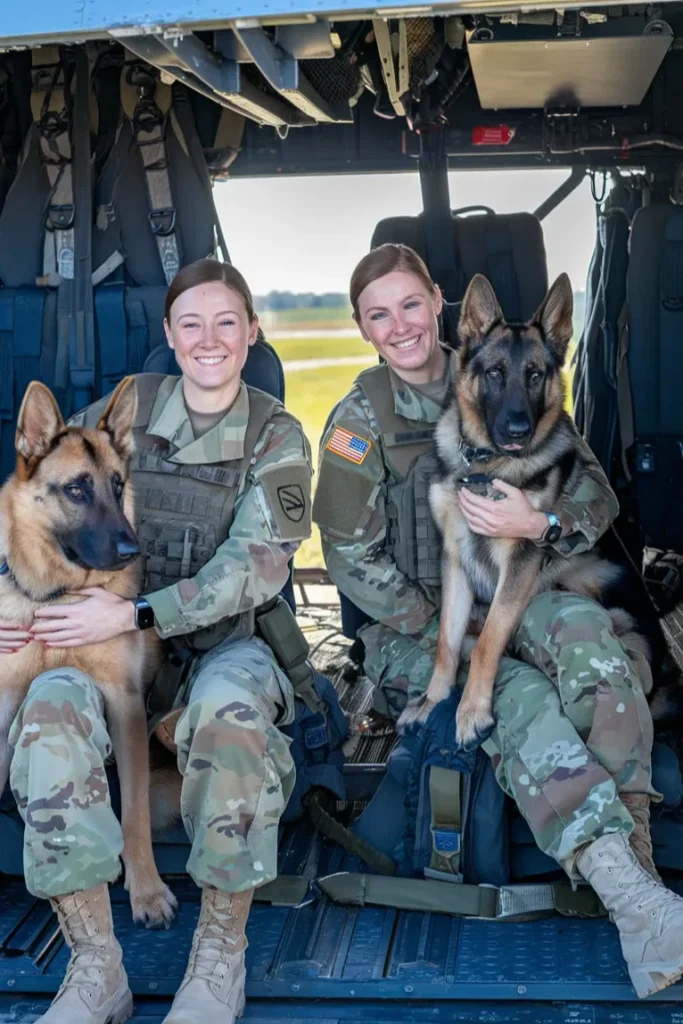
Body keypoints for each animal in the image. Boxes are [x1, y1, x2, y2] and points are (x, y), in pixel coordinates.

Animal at [0, 374, 179, 929]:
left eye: (117, 485)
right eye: (77, 488)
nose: (132, 551)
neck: (57, 595)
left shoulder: (125, 707)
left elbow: (134, 815)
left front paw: (147, 892)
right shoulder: (3, 703)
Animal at [397, 276, 679, 749]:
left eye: (534, 375)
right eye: (495, 373)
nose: (518, 430)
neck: (485, 464)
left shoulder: (520, 562)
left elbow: (489, 638)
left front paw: (471, 712)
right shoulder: (454, 559)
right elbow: (446, 643)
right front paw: (434, 701)